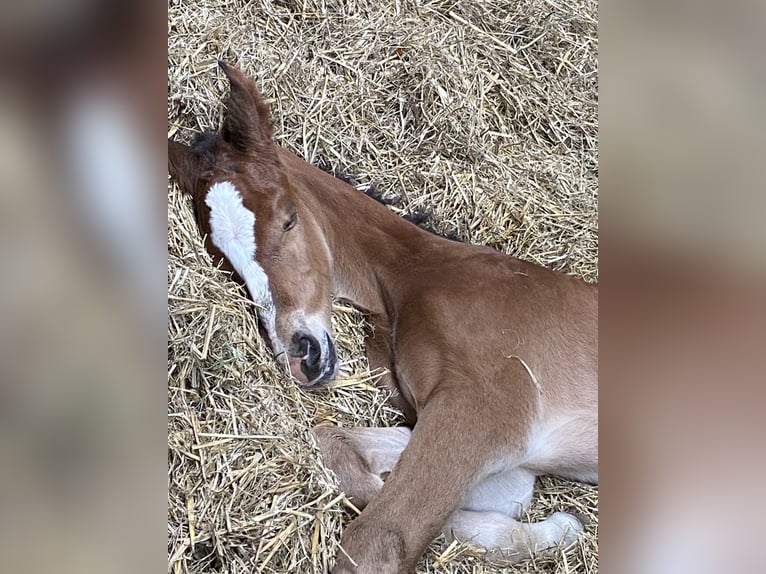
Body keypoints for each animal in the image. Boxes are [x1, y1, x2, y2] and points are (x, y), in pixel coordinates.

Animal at [168, 61, 598, 574]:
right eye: (223, 260)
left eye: (289, 218)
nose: (301, 356)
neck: (419, 278)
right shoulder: (508, 460)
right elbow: (338, 447)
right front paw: (560, 531)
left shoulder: (483, 408)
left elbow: (376, 540)